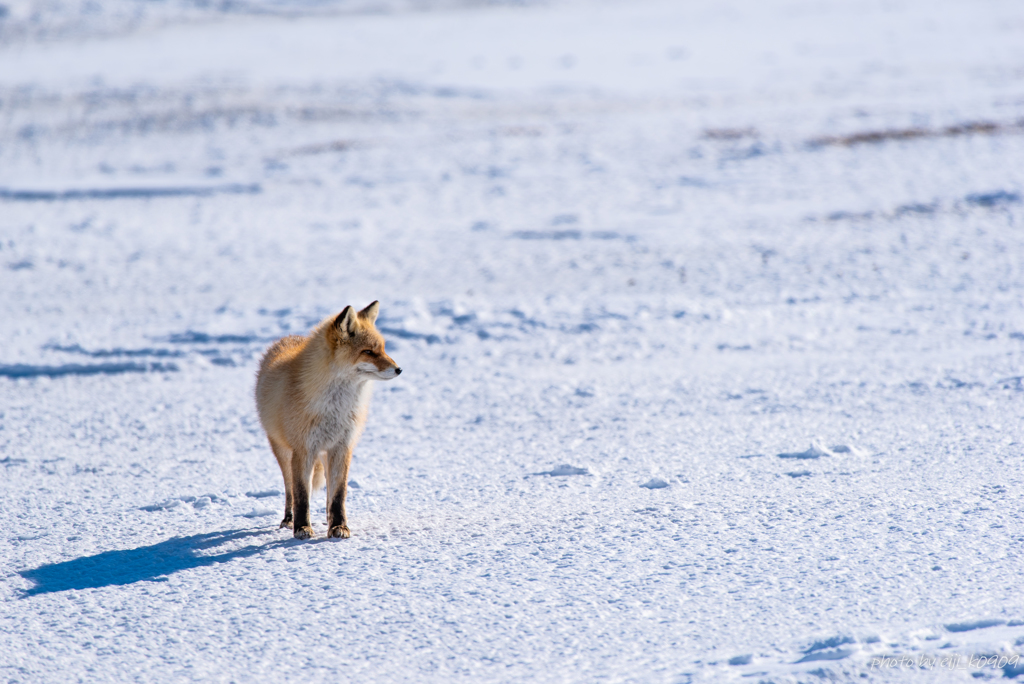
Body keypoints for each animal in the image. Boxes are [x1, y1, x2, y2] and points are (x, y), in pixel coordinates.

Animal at [253, 301, 401, 540]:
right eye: (368, 352)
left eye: (383, 349)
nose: (399, 369)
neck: (335, 407)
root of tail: (289, 338)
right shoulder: (303, 449)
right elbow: (301, 495)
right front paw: (302, 528)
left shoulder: (342, 447)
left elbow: (338, 495)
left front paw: (339, 526)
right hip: (283, 452)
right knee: (289, 489)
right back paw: (289, 520)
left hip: (324, 454)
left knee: (328, 492)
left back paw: (327, 519)